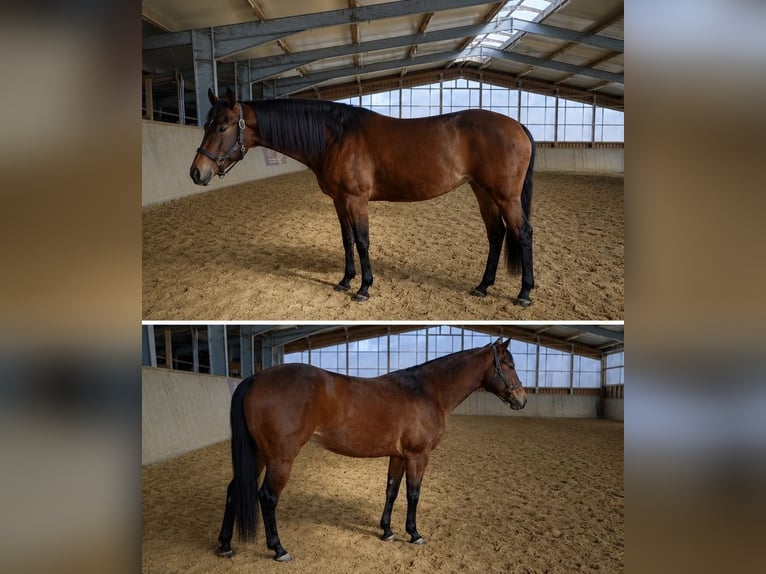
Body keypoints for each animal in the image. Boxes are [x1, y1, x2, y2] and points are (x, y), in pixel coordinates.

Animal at [190, 87, 536, 306]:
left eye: (222, 127)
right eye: (207, 124)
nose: (196, 172)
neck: (335, 137)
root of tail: (518, 124)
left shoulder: (356, 199)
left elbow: (362, 240)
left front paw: (364, 288)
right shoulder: (338, 200)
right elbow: (346, 240)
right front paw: (345, 280)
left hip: (505, 197)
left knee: (522, 233)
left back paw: (524, 293)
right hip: (483, 192)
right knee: (496, 234)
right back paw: (482, 287)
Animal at [215, 337, 527, 562]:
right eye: (509, 365)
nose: (522, 400)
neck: (428, 391)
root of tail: (255, 378)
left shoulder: (398, 456)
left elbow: (391, 491)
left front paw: (387, 531)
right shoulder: (418, 456)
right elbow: (413, 495)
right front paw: (414, 534)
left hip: (259, 454)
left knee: (234, 490)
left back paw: (225, 545)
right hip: (280, 458)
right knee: (267, 497)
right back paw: (279, 549)